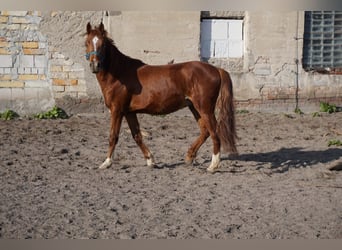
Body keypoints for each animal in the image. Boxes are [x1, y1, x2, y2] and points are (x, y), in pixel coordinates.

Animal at [84, 22, 236, 172]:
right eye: (87, 42)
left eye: (103, 44)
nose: (95, 65)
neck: (120, 74)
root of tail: (216, 69)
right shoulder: (129, 112)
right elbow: (137, 135)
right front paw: (150, 161)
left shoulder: (117, 110)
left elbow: (113, 136)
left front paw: (106, 163)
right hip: (194, 107)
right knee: (205, 131)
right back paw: (189, 157)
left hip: (205, 108)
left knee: (214, 132)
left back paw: (213, 165)